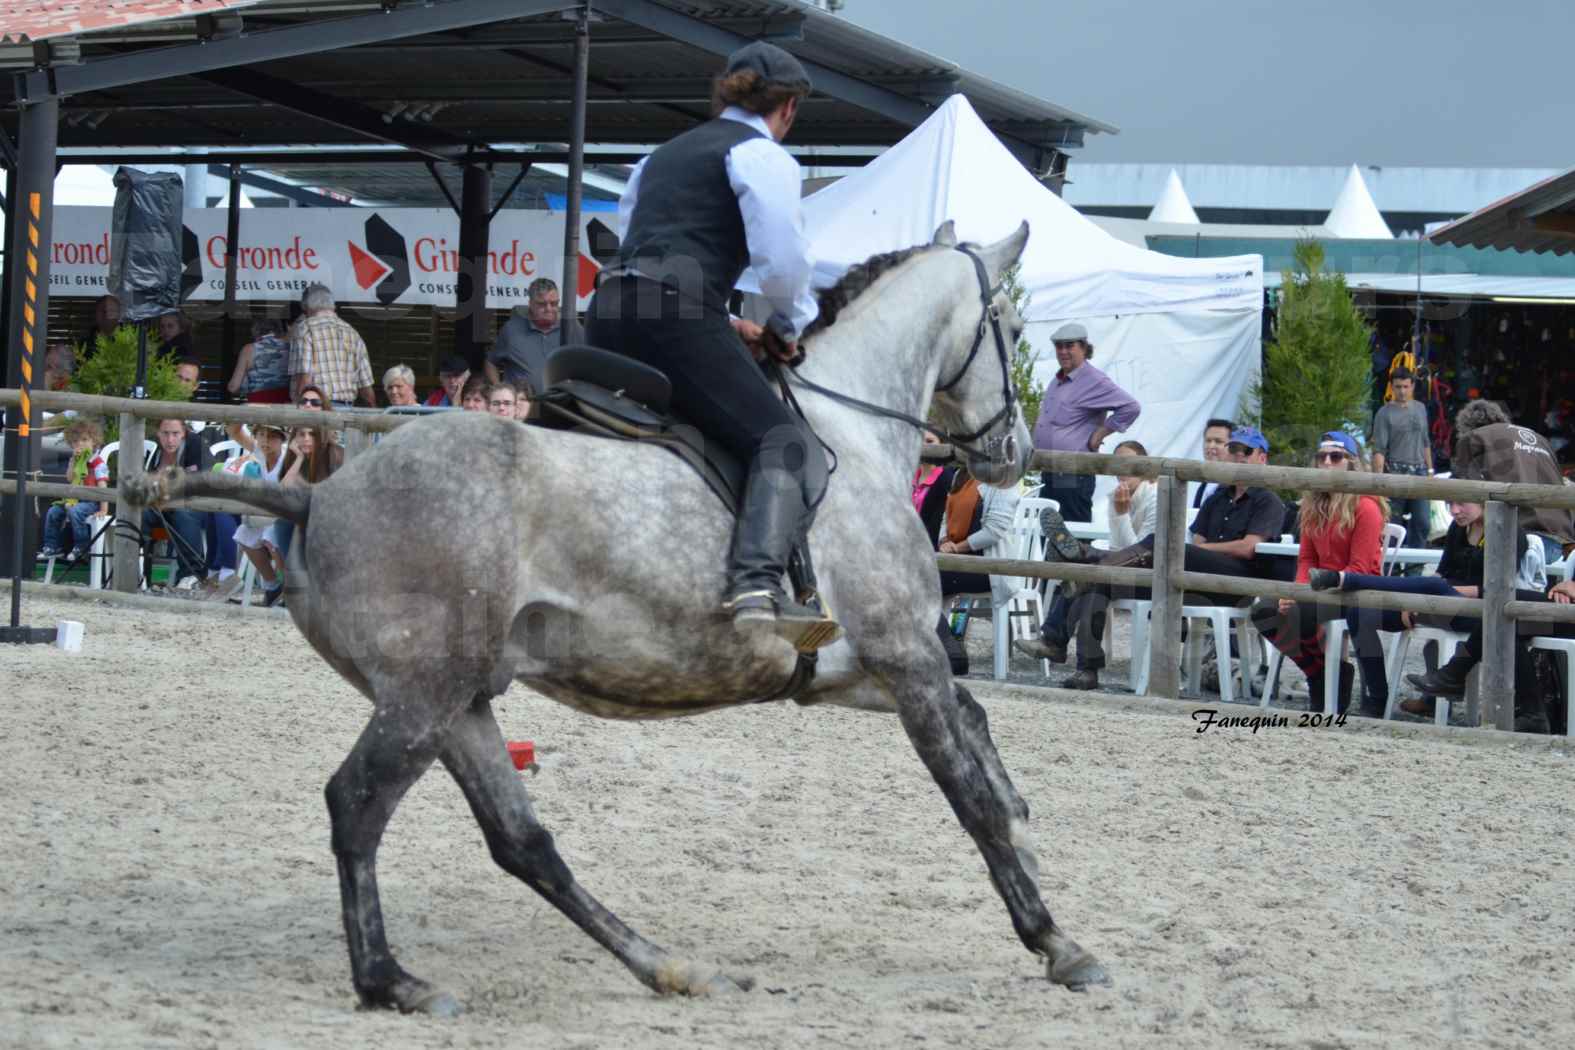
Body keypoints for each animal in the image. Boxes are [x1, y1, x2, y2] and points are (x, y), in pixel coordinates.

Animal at [135, 221, 1115, 1020]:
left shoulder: (853, 670)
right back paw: (392, 981)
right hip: (425, 694)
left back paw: (663, 967)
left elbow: (978, 727)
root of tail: (315, 496)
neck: (855, 435)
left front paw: (1027, 820)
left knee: (522, 842)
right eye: (1011, 326)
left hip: (460, 701)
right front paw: (1057, 944)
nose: (1013, 452)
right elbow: (968, 797)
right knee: (360, 805)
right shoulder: (905, 655)